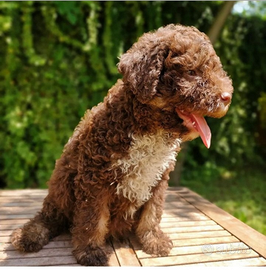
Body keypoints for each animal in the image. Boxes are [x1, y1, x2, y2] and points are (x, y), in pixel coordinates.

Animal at [10, 24, 233, 264]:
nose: (227, 97)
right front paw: (90, 251)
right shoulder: (94, 178)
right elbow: (92, 219)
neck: (149, 127)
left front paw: (153, 240)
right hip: (61, 184)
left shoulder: (158, 179)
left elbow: (152, 213)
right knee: (51, 215)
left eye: (215, 70)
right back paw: (30, 235)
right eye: (191, 72)